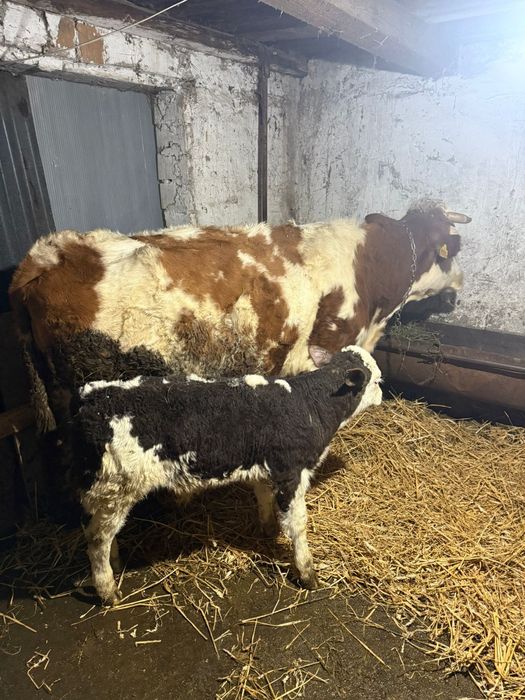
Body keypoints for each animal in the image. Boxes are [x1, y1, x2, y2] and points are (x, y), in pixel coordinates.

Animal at [71, 344, 383, 605]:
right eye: (377, 380)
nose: (382, 393)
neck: (308, 405)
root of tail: (92, 397)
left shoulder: (263, 468)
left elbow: (263, 500)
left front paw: (267, 530)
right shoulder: (291, 472)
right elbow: (298, 526)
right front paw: (307, 572)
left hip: (105, 491)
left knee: (98, 532)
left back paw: (115, 564)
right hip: (118, 488)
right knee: (97, 539)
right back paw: (108, 590)